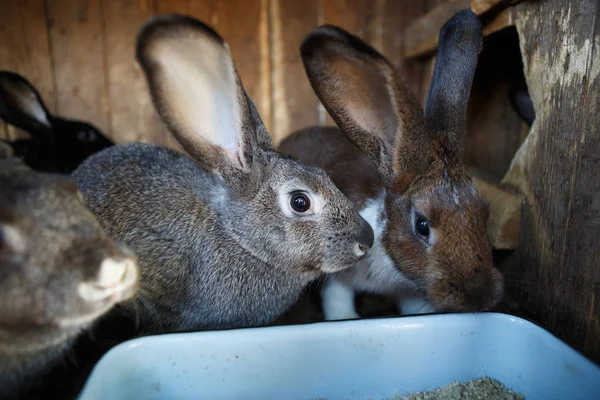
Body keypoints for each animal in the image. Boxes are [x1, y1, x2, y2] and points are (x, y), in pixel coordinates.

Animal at [278, 10, 504, 322]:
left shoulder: (410, 294)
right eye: (422, 226)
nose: (478, 297)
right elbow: (339, 307)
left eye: (484, 214)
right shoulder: (339, 278)